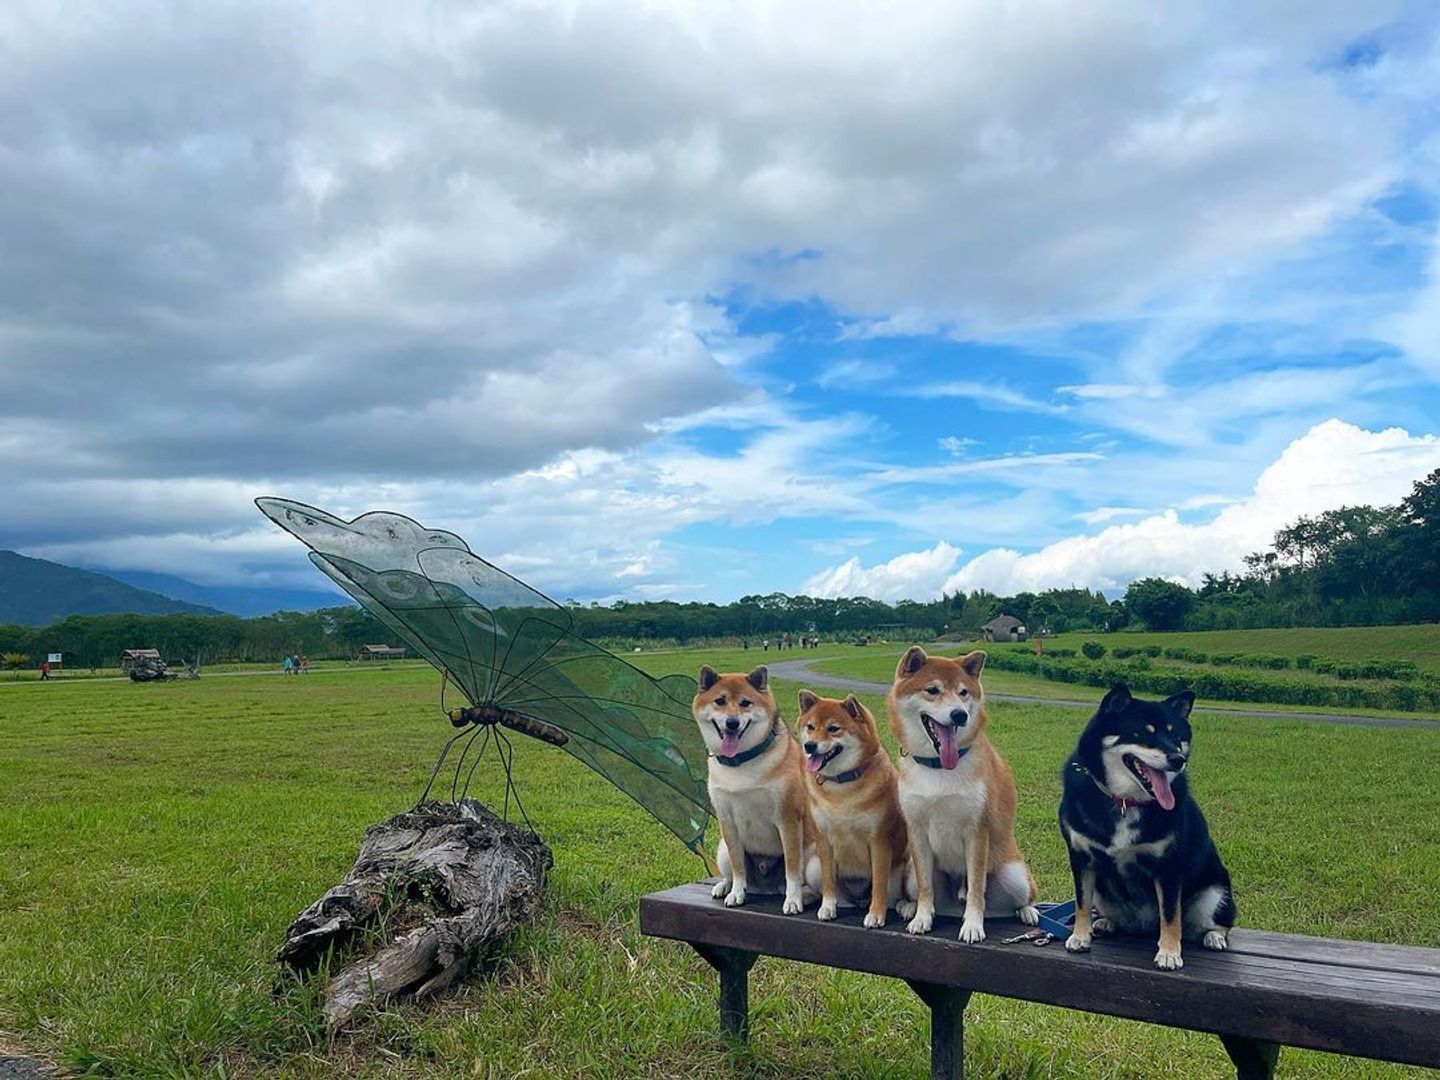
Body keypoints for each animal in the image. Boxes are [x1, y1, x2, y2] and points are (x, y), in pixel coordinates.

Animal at [694, 668, 817, 915]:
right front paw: (736, 894)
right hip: (722, 849)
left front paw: (793, 900)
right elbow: (738, 867)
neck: (742, 761)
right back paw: (724, 886)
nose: (732, 723)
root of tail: (767, 889)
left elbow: (792, 871)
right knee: (731, 872)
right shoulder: (728, 822)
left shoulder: (788, 820)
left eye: (745, 703)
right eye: (720, 701)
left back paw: (805, 895)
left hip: (812, 849)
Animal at [794, 694, 904, 933]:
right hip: (813, 866)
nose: (809, 745)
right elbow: (828, 880)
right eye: (810, 727)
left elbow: (879, 885)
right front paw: (827, 907)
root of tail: (857, 900)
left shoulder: (879, 841)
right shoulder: (823, 840)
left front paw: (876, 915)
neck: (842, 786)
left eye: (833, 728)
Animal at [887, 648, 1036, 944]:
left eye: (963, 692)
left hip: (1014, 875)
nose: (959, 715)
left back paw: (1028, 912)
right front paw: (922, 917)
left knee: (1016, 899)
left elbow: (977, 888)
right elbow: (926, 887)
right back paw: (909, 906)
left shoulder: (977, 832)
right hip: (909, 871)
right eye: (933, 690)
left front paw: (973, 925)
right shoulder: (917, 831)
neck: (939, 768)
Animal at [1059, 685, 1238, 973]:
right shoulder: (1082, 859)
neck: (1124, 801)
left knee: (1215, 923)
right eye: (1144, 733)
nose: (1178, 759)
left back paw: (1214, 937)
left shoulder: (1168, 867)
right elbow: (1082, 903)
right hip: (1103, 892)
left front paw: (1169, 953)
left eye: (1176, 736)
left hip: (1214, 894)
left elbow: (1171, 915)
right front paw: (1079, 936)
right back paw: (1106, 922)